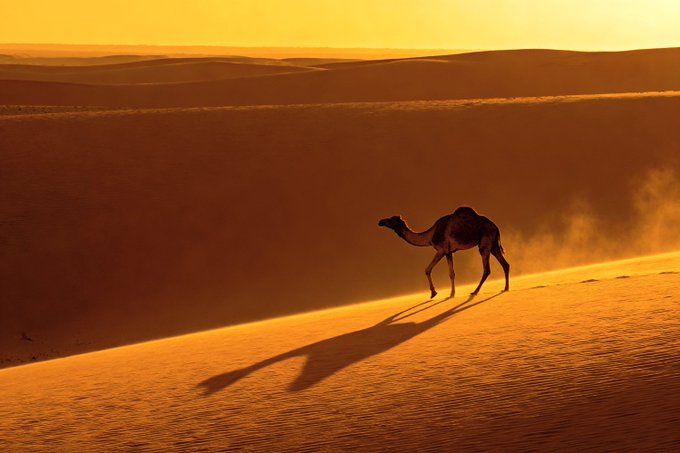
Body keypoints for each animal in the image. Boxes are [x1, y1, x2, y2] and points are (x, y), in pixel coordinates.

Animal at [378, 206, 510, 298]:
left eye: (391, 219)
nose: (380, 221)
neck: (430, 236)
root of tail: (496, 227)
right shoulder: (449, 252)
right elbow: (451, 273)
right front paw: (451, 294)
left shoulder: (441, 250)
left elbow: (427, 269)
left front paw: (433, 293)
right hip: (493, 244)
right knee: (505, 264)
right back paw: (505, 288)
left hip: (485, 242)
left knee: (487, 269)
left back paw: (474, 291)